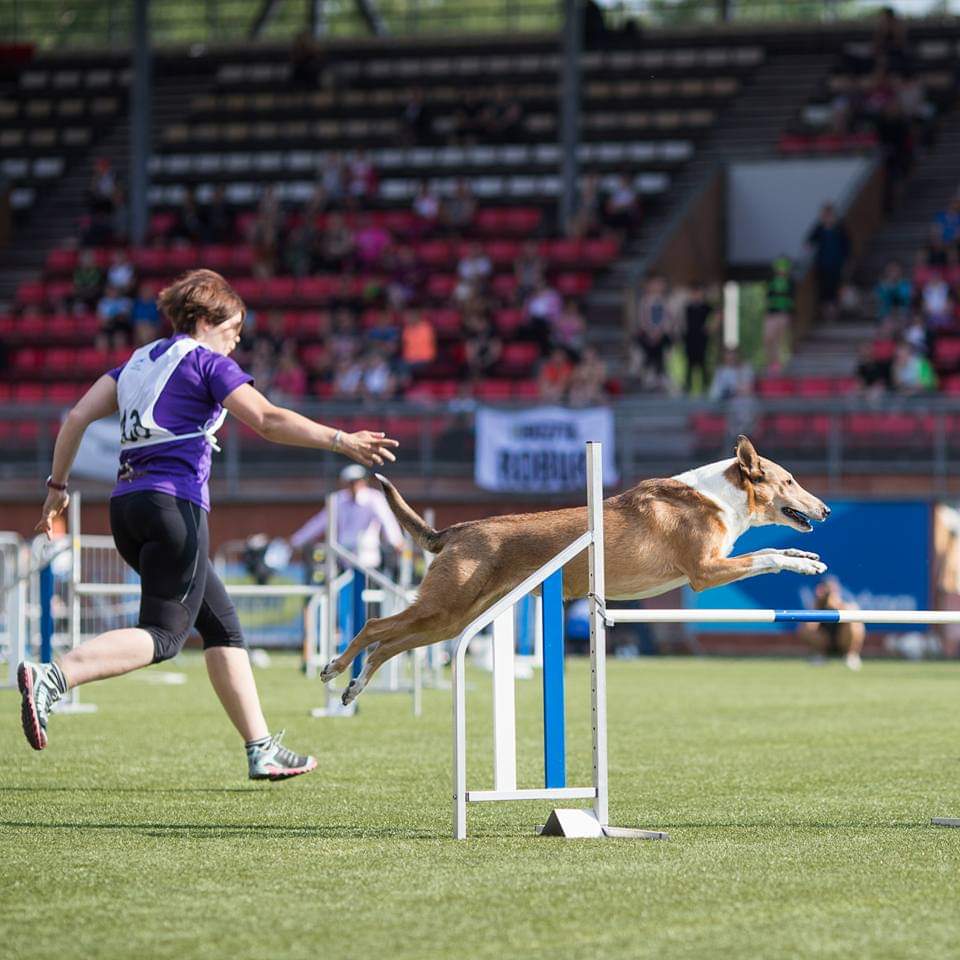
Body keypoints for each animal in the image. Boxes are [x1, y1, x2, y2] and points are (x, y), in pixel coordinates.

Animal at [324, 436, 832, 704]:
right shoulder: (705, 571)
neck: (720, 497)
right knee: (375, 626)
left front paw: (806, 557)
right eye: (789, 481)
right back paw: (334, 668)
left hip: (453, 620)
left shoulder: (716, 565)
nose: (826, 509)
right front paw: (803, 565)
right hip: (444, 605)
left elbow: (771, 548)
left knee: (393, 644)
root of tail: (457, 527)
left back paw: (353, 688)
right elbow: (765, 555)